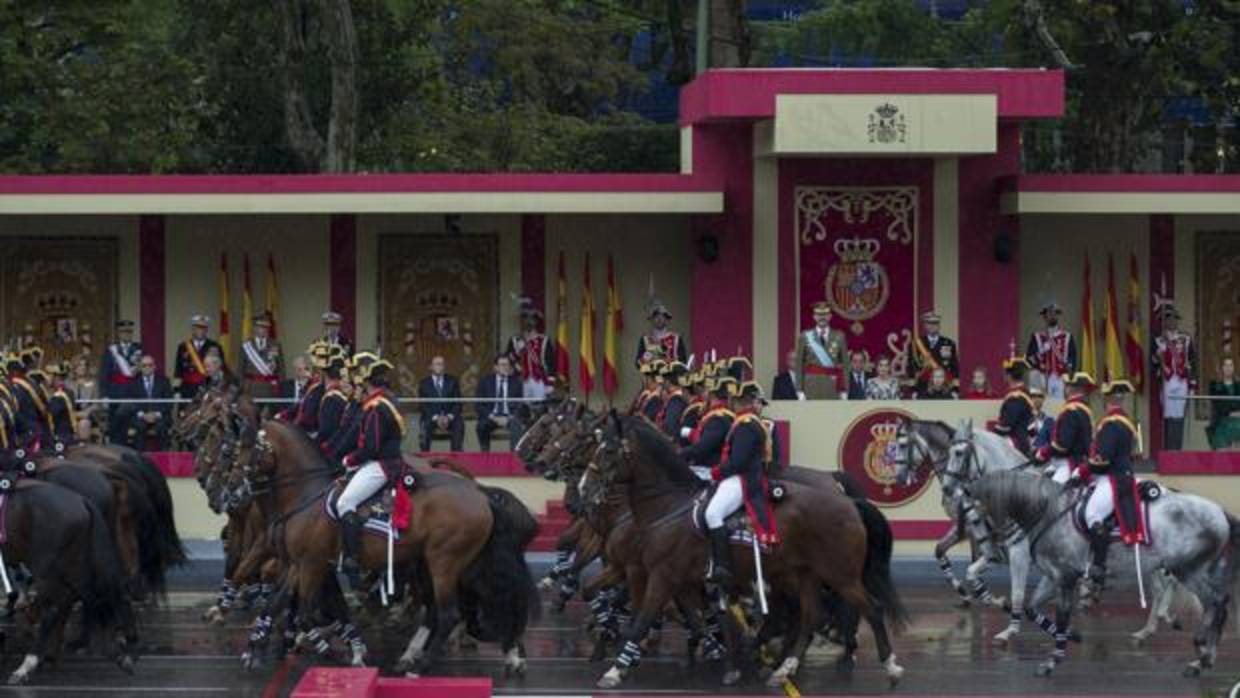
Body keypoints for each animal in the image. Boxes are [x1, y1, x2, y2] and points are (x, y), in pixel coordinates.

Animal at [575, 411, 907, 689]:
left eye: (607, 450)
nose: (584, 490)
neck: (668, 506)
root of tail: (849, 503)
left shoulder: (658, 575)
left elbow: (642, 619)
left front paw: (615, 669)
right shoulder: (680, 580)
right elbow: (696, 619)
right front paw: (723, 656)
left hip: (840, 575)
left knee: (869, 609)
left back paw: (887, 665)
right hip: (806, 574)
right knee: (810, 615)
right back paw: (784, 667)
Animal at [967, 466, 1240, 679]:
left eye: (975, 514)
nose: (991, 550)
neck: (1048, 511)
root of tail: (1220, 512)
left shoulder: (1065, 577)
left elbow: (1060, 615)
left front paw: (1052, 660)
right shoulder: (1052, 576)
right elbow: (1031, 608)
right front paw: (1071, 636)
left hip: (1186, 569)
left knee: (1214, 602)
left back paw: (1200, 653)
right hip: (1193, 569)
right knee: (1215, 603)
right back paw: (1201, 658)